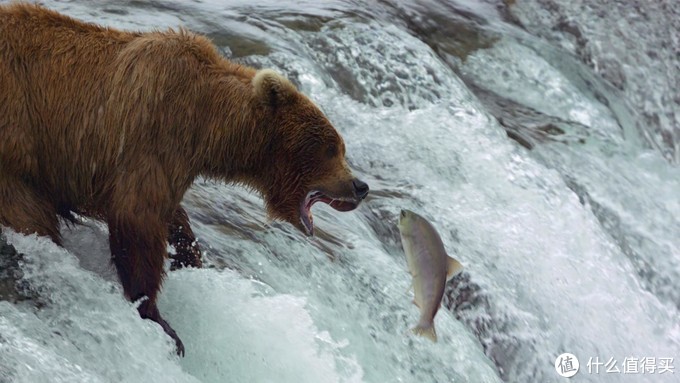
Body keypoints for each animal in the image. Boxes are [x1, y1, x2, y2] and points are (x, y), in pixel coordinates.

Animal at [0, 3, 366, 356]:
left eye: (340, 147)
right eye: (331, 148)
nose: (360, 186)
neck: (209, 123)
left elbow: (171, 216)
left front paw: (188, 257)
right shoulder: (150, 133)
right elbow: (137, 218)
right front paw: (158, 316)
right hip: (17, 141)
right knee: (31, 216)